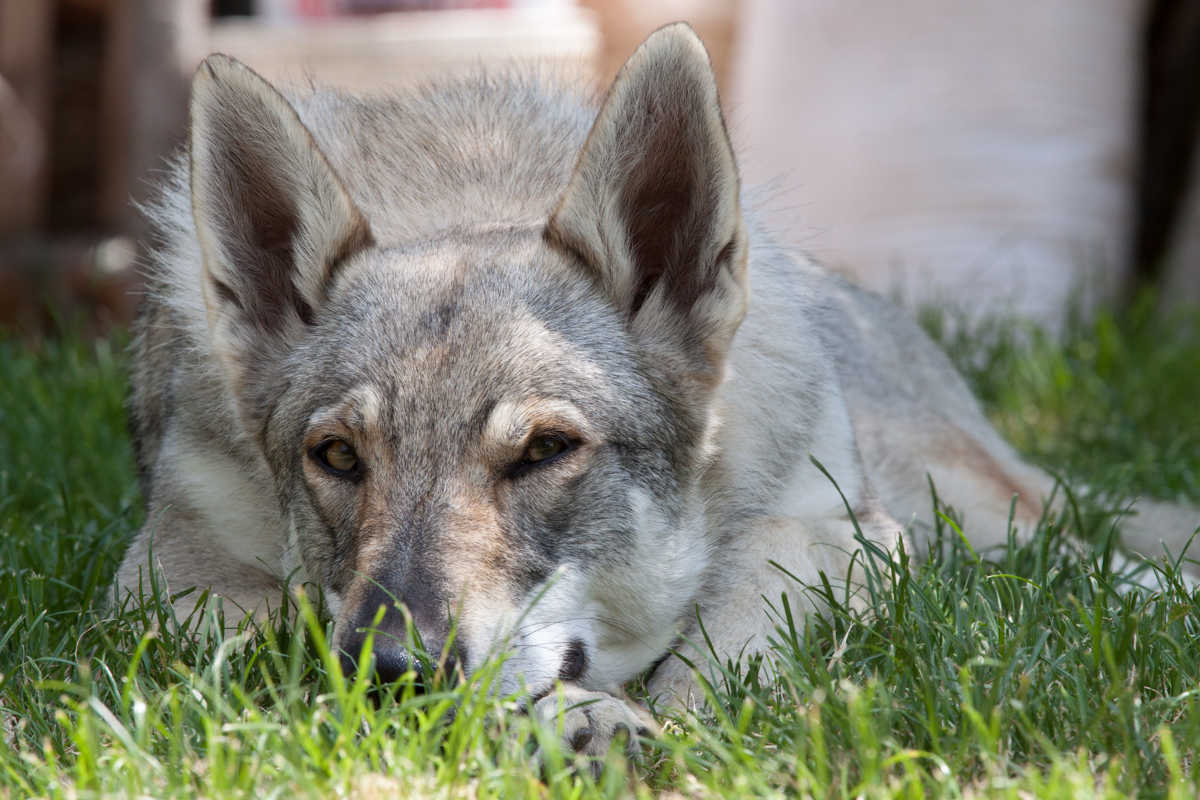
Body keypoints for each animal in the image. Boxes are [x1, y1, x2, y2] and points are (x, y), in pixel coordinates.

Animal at [112, 21, 1200, 767]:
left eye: (544, 450)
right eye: (338, 457)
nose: (395, 676)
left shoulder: (834, 528)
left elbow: (734, 620)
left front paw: (686, 728)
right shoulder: (163, 582)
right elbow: (292, 631)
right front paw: (578, 720)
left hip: (969, 505)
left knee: (1068, 549)